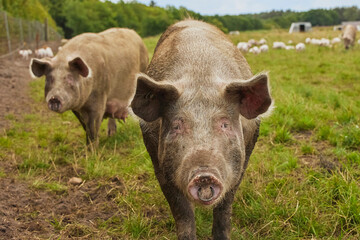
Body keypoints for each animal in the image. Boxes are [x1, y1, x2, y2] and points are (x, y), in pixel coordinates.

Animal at [131, 19, 272, 239]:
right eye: (177, 125)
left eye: (225, 124)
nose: (204, 175)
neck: (200, 77)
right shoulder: (160, 165)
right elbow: (183, 213)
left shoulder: (241, 162)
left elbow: (224, 209)